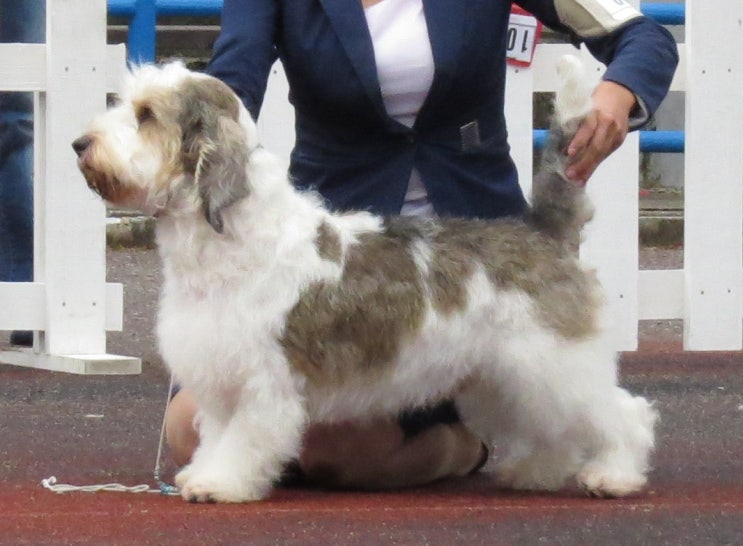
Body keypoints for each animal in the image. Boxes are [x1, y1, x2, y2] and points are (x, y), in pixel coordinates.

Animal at [74, 56, 656, 502]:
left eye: (146, 115)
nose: (81, 144)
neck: (233, 241)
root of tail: (541, 230)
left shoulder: (264, 381)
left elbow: (244, 440)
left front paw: (220, 484)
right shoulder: (220, 376)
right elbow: (217, 435)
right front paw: (203, 473)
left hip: (555, 362)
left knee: (622, 413)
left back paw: (615, 475)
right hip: (503, 374)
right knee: (550, 427)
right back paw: (536, 472)